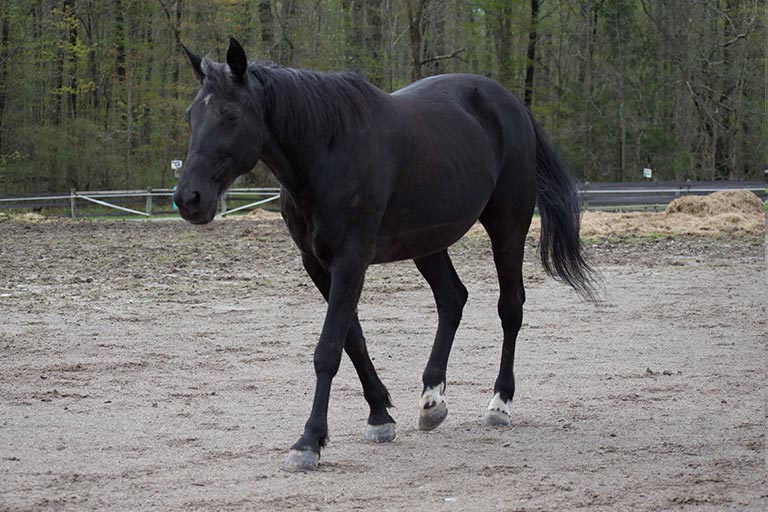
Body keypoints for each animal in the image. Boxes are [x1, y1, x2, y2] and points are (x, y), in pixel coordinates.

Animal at [174, 38, 595, 472]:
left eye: (231, 114)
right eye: (192, 115)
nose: (189, 199)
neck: (328, 151)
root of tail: (512, 105)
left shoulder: (351, 259)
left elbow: (328, 349)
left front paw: (309, 441)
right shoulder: (318, 264)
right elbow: (352, 340)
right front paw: (379, 415)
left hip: (507, 227)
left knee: (510, 308)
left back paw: (499, 403)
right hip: (427, 243)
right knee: (452, 300)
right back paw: (432, 399)